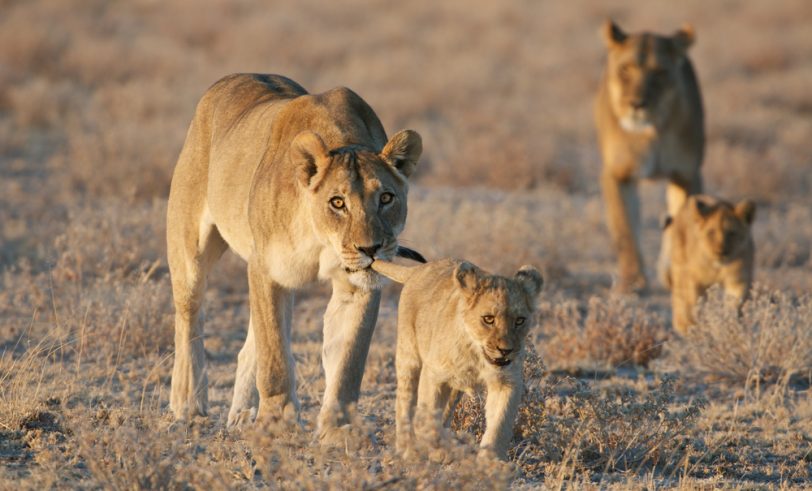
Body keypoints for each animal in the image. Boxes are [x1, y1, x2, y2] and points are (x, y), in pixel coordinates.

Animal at [166, 74, 423, 440]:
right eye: (338, 202)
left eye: (386, 198)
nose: (370, 249)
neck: (321, 239)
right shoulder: (265, 270)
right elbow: (274, 356)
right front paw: (277, 424)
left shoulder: (356, 288)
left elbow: (348, 361)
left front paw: (338, 430)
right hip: (190, 246)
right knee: (190, 318)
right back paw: (189, 407)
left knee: (250, 343)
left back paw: (241, 415)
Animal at [371, 259, 544, 460]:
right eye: (488, 319)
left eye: (520, 321)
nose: (505, 350)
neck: (477, 355)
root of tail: (419, 269)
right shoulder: (433, 374)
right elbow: (428, 418)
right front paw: (437, 449)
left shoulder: (507, 382)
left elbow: (500, 425)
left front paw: (490, 462)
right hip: (409, 357)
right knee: (404, 402)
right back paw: (407, 450)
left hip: (455, 386)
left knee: (446, 411)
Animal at [594, 20, 705, 292]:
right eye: (625, 69)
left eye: (659, 72)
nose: (637, 104)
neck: (650, 131)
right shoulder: (618, 174)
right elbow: (625, 229)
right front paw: (631, 281)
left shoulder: (686, 174)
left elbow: (680, 227)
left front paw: (673, 273)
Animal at [660, 195, 756, 335]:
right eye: (711, 232)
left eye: (731, 233)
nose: (721, 252)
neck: (718, 267)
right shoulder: (695, 280)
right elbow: (696, 303)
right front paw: (698, 326)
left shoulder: (738, 280)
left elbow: (736, 303)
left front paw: (731, 325)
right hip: (680, 267)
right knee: (679, 296)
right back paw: (682, 325)